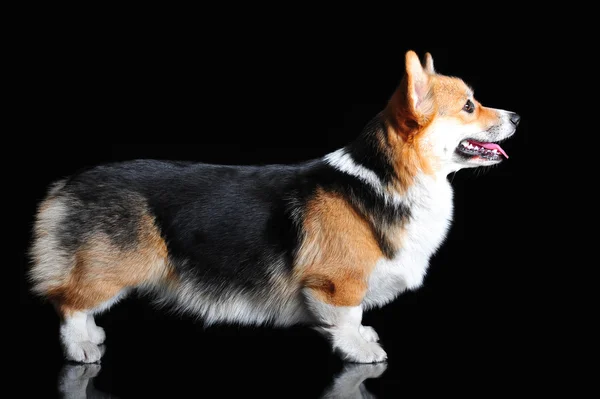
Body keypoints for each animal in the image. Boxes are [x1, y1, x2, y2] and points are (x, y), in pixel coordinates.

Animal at [28, 50, 516, 366]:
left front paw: (363, 337)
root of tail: (68, 184)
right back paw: (81, 347)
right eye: (469, 105)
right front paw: (361, 350)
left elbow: (355, 318)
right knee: (68, 302)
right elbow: (348, 317)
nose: (517, 117)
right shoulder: (336, 284)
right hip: (118, 266)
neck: (389, 180)